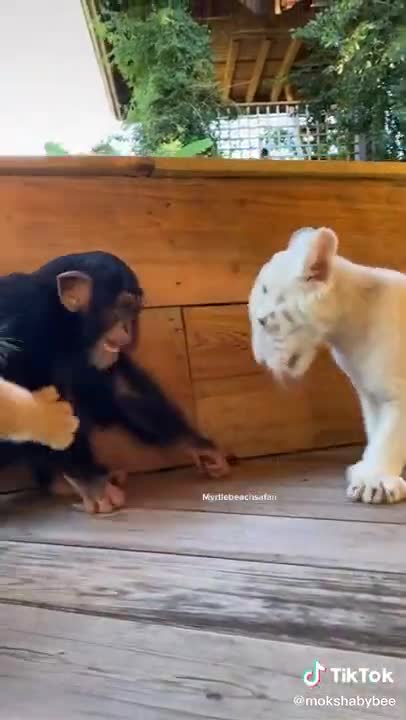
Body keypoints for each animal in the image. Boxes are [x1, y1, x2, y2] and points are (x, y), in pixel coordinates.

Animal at [0, 251, 230, 513]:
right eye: (124, 306)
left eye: (134, 311)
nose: (128, 328)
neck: (65, 322)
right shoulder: (26, 319)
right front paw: (93, 482)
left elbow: (119, 393)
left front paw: (200, 447)